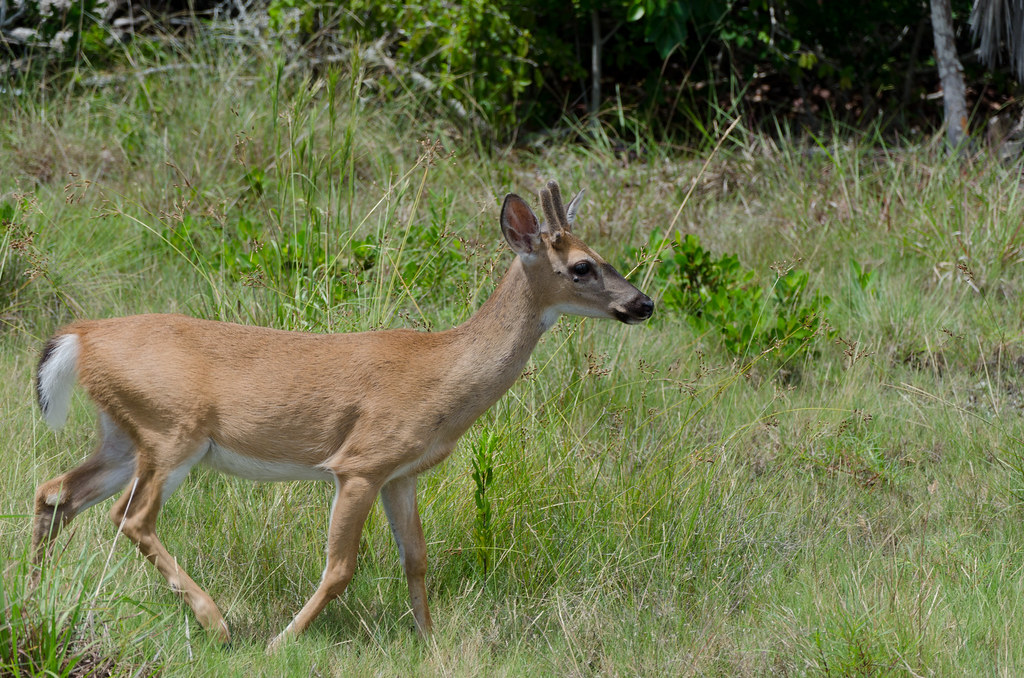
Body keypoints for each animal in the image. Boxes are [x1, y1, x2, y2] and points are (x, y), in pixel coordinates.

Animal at [31, 180, 654, 650]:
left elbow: (416, 560)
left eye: (604, 257)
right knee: (130, 517)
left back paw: (36, 587)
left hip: (123, 434)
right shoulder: (359, 462)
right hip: (171, 431)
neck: (441, 374)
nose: (643, 303)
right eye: (581, 267)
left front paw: (431, 644)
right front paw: (281, 641)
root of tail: (81, 336)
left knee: (55, 492)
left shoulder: (400, 473)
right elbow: (341, 568)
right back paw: (218, 622)